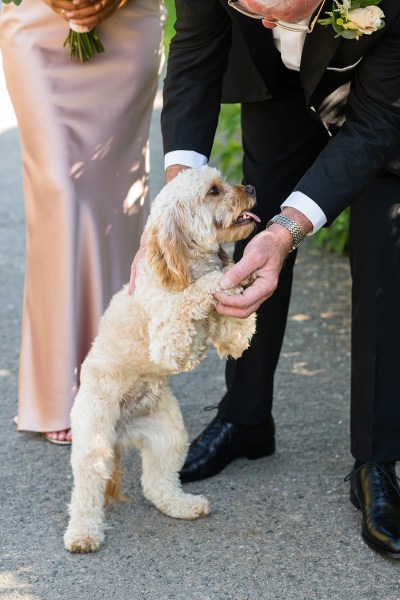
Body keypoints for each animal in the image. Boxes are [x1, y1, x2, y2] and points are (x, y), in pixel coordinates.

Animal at [65, 168, 260, 552]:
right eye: (213, 191)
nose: (250, 186)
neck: (184, 265)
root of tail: (122, 430)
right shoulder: (169, 338)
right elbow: (194, 296)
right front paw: (221, 279)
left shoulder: (227, 335)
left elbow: (236, 332)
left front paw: (243, 275)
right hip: (94, 440)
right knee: (87, 491)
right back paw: (83, 533)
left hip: (170, 437)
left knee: (156, 484)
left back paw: (181, 506)